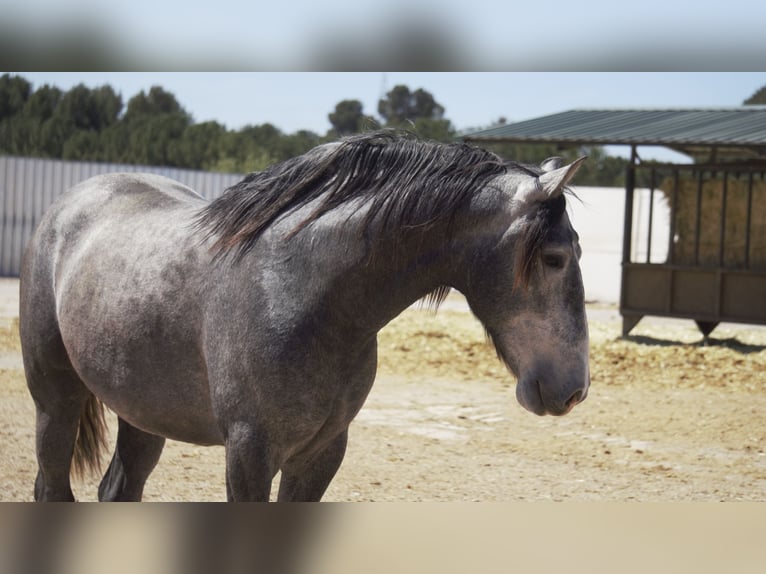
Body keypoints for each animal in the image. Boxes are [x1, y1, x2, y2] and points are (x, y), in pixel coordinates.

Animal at [21, 133, 592, 502]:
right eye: (555, 258)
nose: (574, 389)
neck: (302, 293)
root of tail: (71, 203)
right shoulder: (249, 453)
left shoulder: (321, 453)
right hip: (56, 402)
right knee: (52, 488)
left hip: (143, 413)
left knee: (119, 489)